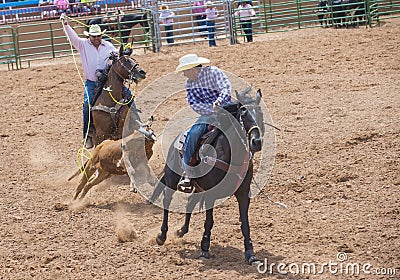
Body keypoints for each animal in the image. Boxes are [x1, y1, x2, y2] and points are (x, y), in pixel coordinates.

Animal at [155, 88, 264, 264]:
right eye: (244, 113)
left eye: (260, 113)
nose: (256, 142)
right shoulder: (211, 194)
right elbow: (209, 221)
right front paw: (204, 248)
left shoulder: (243, 194)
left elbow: (245, 224)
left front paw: (250, 253)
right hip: (172, 179)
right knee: (166, 200)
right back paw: (162, 235)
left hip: (198, 187)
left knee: (190, 203)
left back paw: (182, 230)